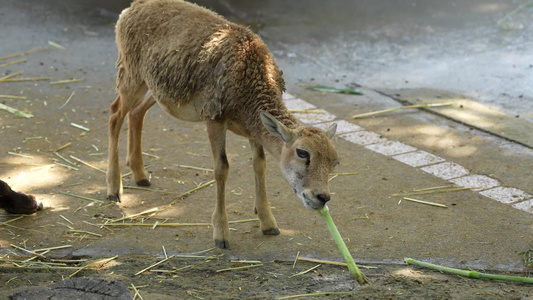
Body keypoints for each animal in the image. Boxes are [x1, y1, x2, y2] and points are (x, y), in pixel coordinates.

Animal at [107, 0, 338, 248]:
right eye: (302, 153)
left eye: (335, 162)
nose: (322, 197)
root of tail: (130, 9)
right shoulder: (214, 117)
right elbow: (222, 168)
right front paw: (221, 234)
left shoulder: (253, 128)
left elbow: (260, 164)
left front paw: (269, 224)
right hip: (131, 72)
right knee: (115, 115)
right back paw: (114, 190)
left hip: (154, 87)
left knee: (136, 112)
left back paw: (141, 176)